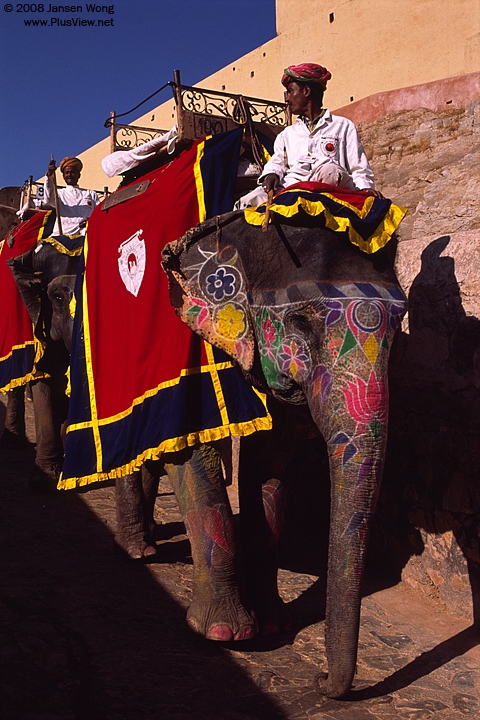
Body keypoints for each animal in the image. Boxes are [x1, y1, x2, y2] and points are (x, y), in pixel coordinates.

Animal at [161, 207, 407, 698]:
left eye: (399, 328)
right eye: (301, 324)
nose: (320, 681)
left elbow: (271, 459)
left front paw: (276, 625)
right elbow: (193, 445)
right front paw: (226, 634)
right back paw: (138, 548)